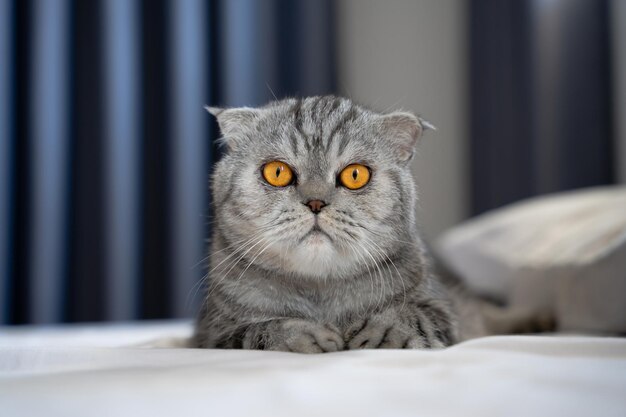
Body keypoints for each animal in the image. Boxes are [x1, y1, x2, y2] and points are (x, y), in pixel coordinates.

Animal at [191, 95, 544, 352]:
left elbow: (413, 315)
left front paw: (383, 329)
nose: (316, 202)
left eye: (355, 174)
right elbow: (254, 329)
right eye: (277, 172)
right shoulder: (211, 332)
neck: (321, 296)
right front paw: (300, 336)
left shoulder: (441, 309)